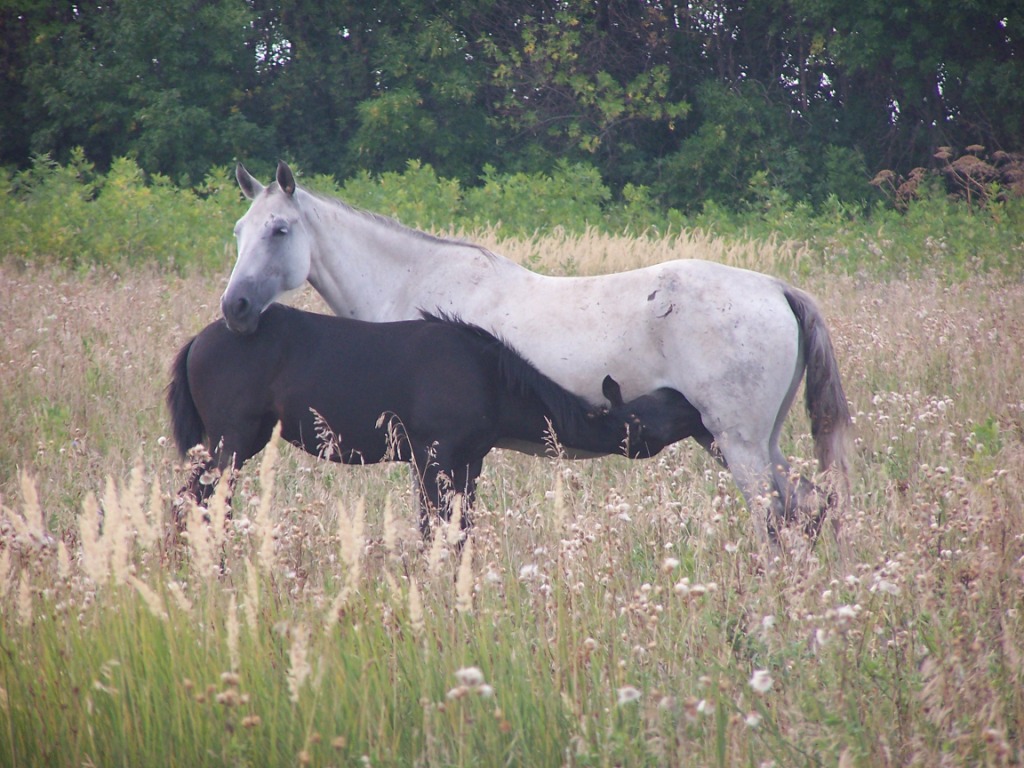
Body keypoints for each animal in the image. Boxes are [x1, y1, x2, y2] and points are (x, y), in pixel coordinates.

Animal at [226, 160, 856, 548]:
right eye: (238, 231)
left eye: (279, 230)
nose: (235, 307)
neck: (415, 285)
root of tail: (776, 289)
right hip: (742, 441)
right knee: (806, 507)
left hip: (739, 444)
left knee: (774, 517)